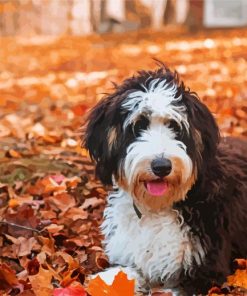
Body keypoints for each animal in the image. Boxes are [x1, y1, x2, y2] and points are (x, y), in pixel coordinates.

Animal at [83, 66, 247, 294]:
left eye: (175, 127)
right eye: (138, 126)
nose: (161, 166)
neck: (157, 207)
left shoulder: (206, 269)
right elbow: (121, 274)